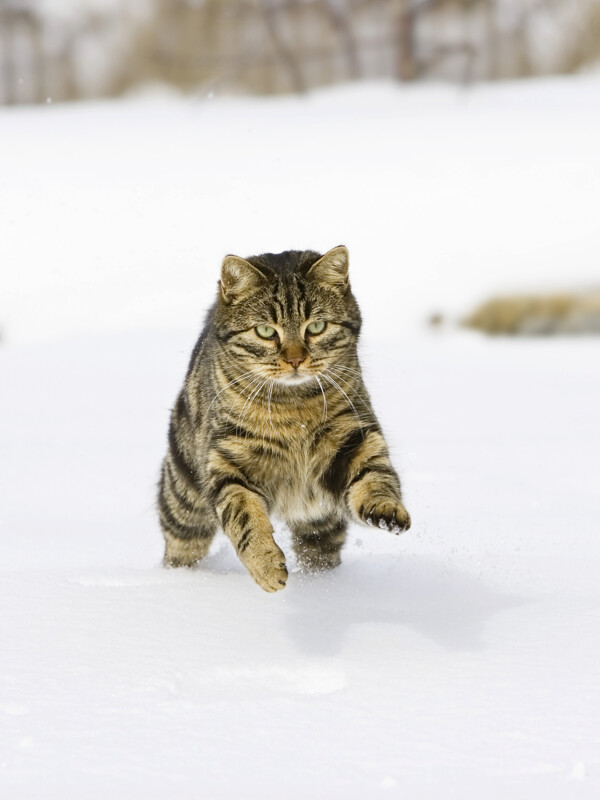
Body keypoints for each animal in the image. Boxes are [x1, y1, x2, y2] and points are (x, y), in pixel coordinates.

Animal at [158, 247, 412, 592]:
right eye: (266, 331)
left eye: (316, 327)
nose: (295, 359)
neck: (294, 410)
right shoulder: (227, 460)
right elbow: (244, 516)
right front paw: (266, 566)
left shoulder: (354, 436)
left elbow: (375, 478)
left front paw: (386, 508)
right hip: (183, 495)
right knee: (182, 544)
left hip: (320, 522)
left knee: (320, 549)